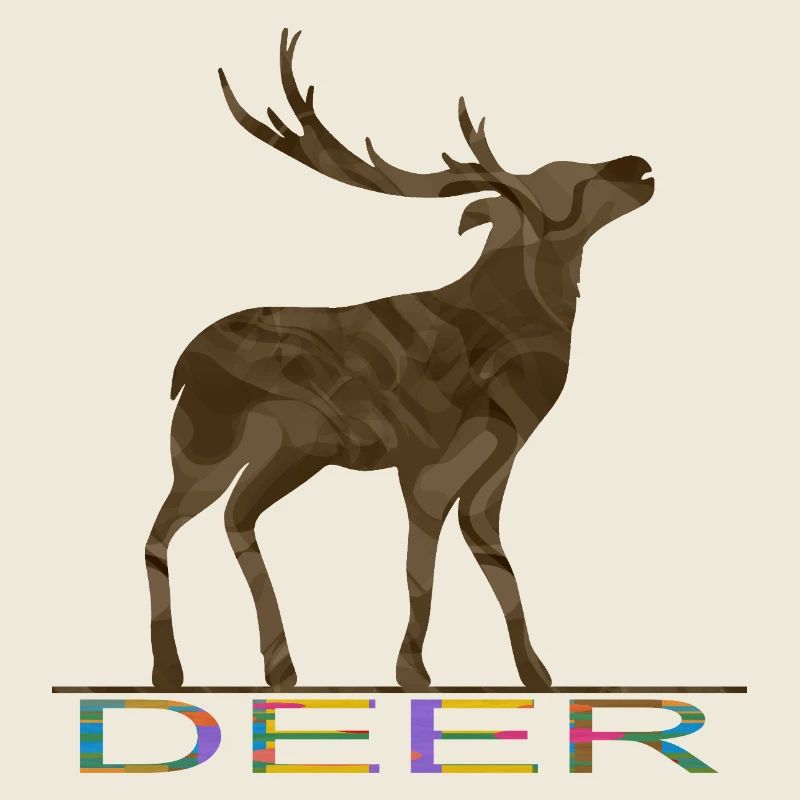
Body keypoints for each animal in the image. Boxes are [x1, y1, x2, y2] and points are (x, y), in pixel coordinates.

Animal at [145, 29, 654, 691]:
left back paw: (280, 666)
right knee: (163, 528)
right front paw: (411, 670)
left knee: (234, 515)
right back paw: (170, 668)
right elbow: (421, 568)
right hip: (205, 439)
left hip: (293, 450)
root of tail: (181, 367)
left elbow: (495, 560)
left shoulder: (499, 460)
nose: (637, 165)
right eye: (564, 184)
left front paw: (535, 670)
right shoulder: (421, 457)